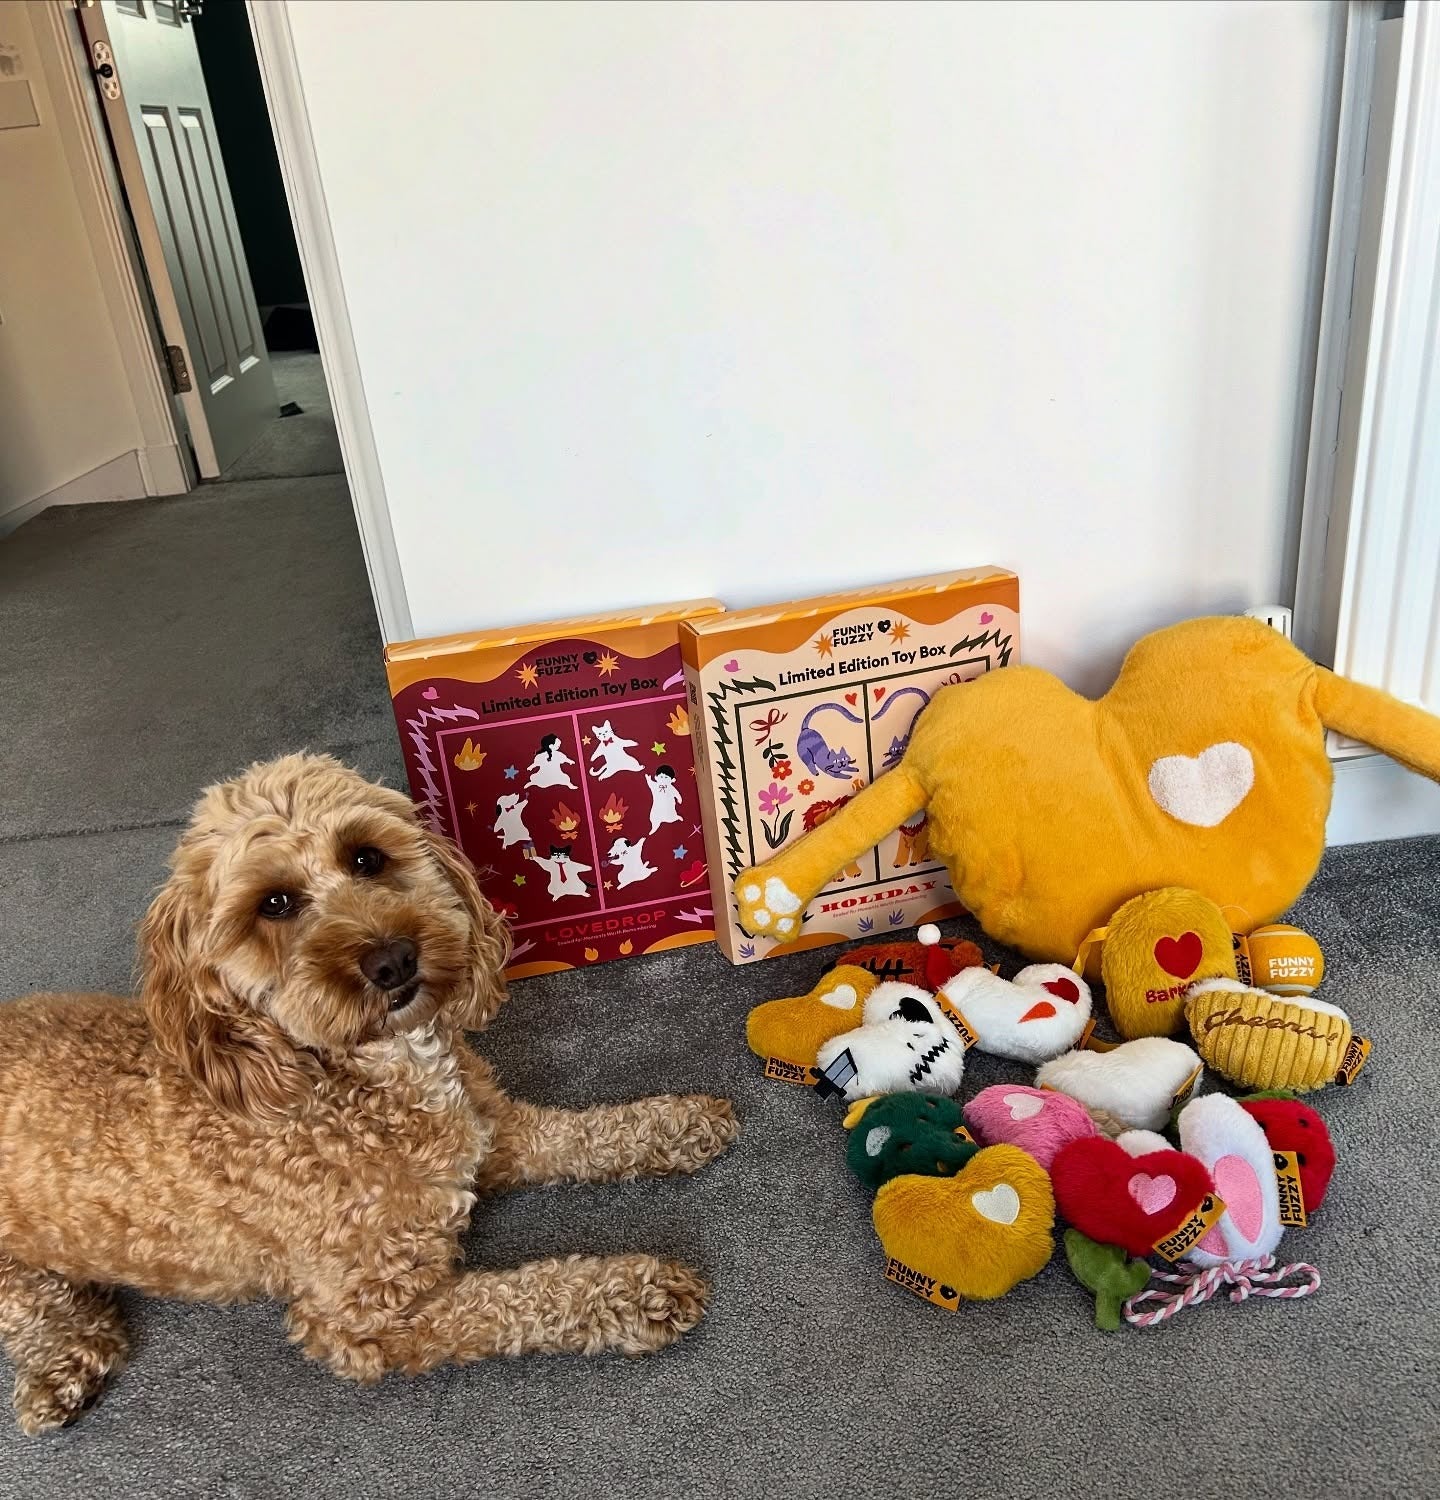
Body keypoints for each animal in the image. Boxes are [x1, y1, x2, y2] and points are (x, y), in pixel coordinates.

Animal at [0, 754, 736, 1434]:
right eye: (274, 903)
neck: (365, 1077)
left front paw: (677, 1122)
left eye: (366, 857)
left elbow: (586, 1131)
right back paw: (59, 1369)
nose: (393, 959)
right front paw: (636, 1289)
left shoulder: (492, 1135)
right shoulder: (367, 1316)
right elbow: (520, 1297)